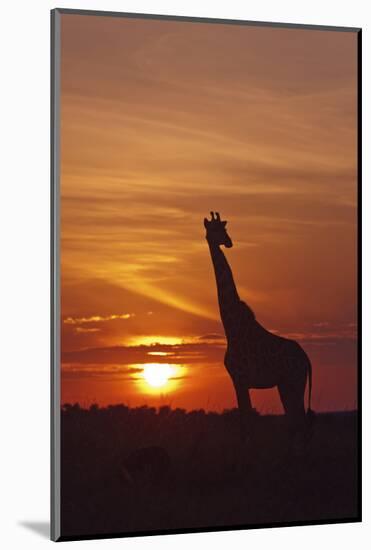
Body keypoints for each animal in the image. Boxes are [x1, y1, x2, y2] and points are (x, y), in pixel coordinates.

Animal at [205, 212, 316, 444]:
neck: (231, 328)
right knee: (295, 422)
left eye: (224, 229)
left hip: (295, 381)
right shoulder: (239, 381)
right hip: (286, 384)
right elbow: (246, 422)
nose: (228, 242)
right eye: (214, 229)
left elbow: (246, 424)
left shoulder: (240, 379)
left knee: (300, 422)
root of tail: (306, 358)